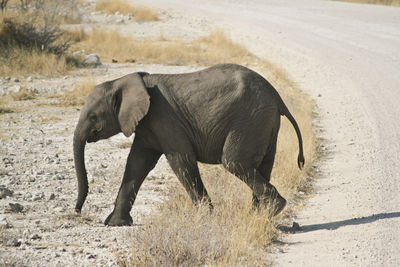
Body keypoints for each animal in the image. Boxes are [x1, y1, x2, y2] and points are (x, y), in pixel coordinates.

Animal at [72, 63, 304, 227]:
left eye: (93, 117)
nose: (78, 211)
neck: (122, 81)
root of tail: (276, 96)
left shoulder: (163, 117)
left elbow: (181, 161)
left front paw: (205, 217)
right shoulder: (148, 124)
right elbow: (137, 163)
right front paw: (115, 224)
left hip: (250, 120)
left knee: (234, 162)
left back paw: (273, 209)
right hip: (263, 121)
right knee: (262, 166)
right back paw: (259, 215)